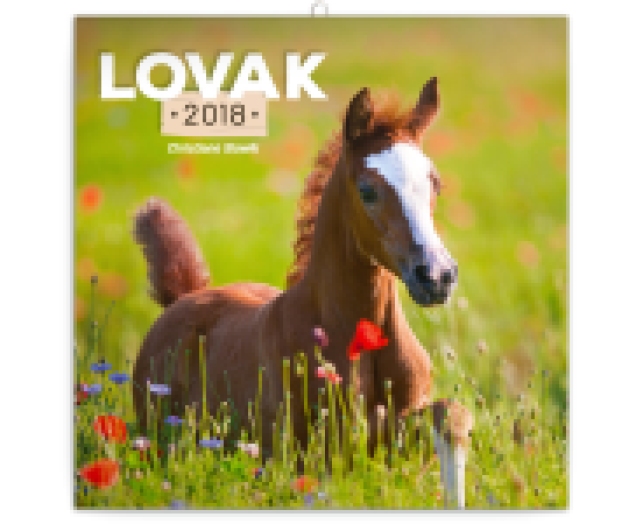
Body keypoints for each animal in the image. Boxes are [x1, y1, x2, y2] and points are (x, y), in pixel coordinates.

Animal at [132, 78, 473, 507]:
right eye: (367, 190)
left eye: (435, 184)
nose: (436, 275)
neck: (359, 338)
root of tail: (183, 299)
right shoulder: (318, 451)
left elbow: (451, 415)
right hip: (161, 439)